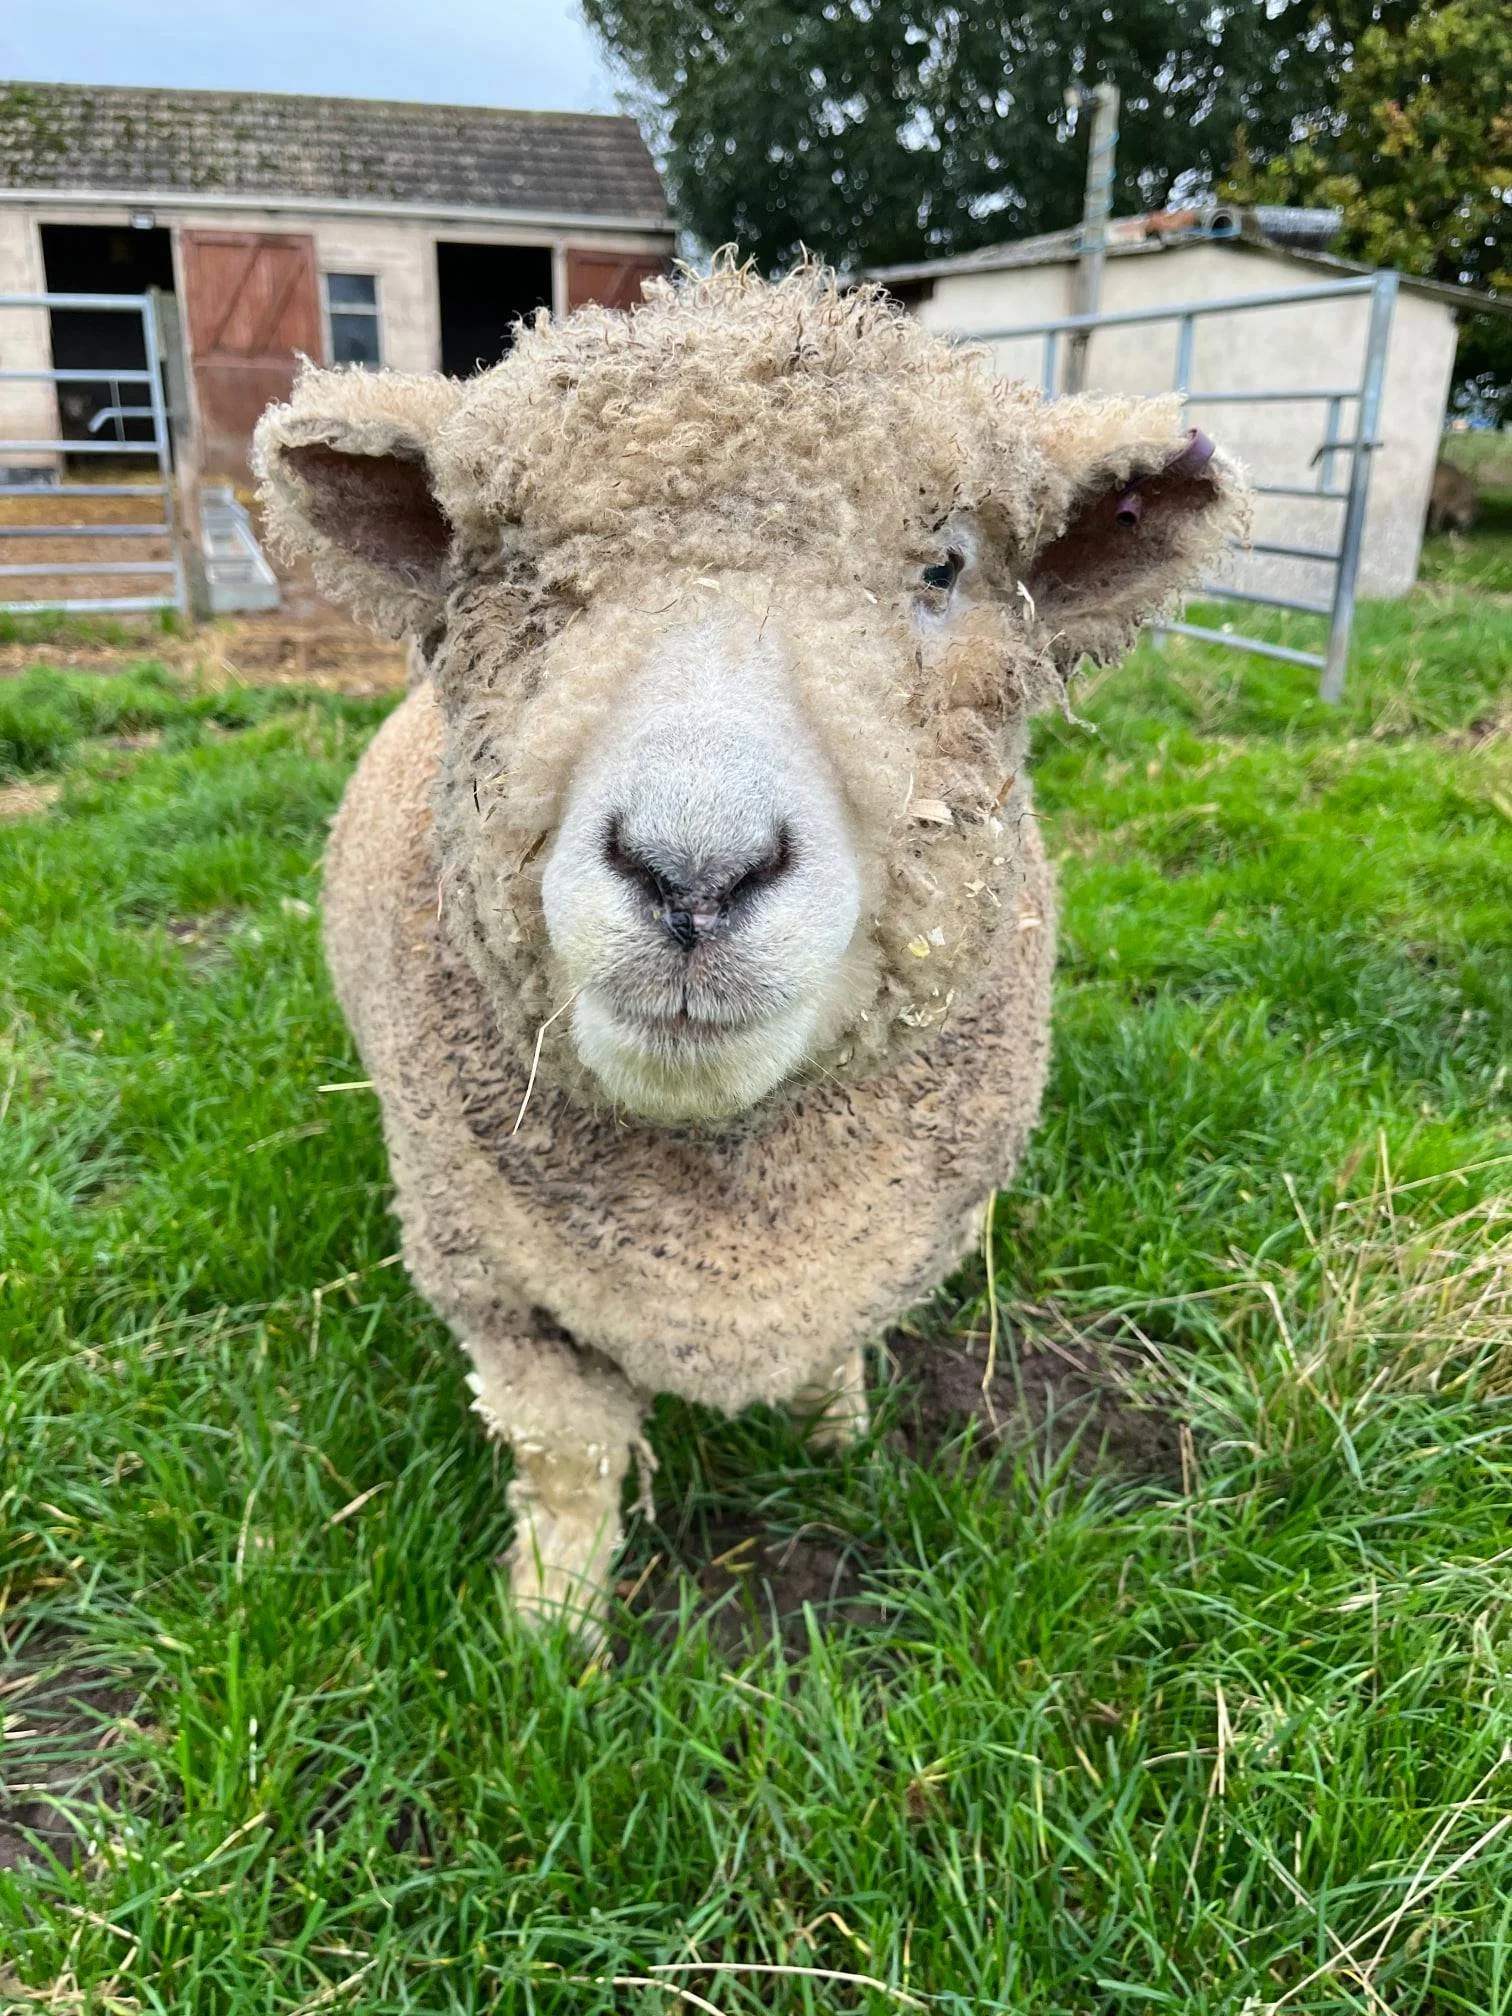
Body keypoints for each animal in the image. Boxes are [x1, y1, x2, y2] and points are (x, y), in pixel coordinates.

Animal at [254, 261, 1248, 1637]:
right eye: (514, 565)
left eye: (943, 566)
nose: (694, 873)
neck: (730, 1206)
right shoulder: (502, 1299)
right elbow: (568, 1461)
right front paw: (550, 1626)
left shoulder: (899, 1247)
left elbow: (837, 1351)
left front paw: (836, 1434)